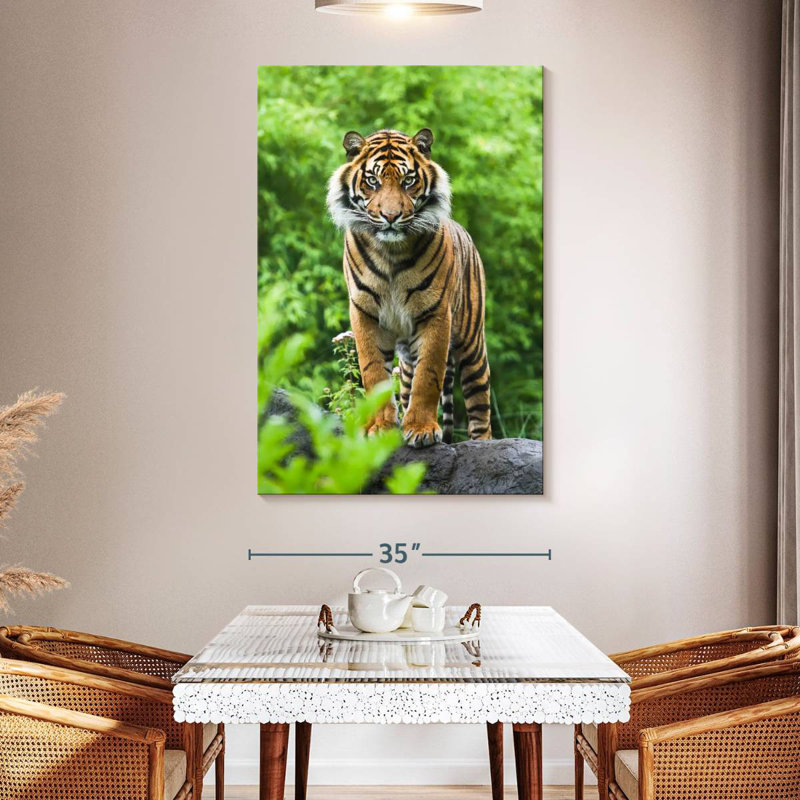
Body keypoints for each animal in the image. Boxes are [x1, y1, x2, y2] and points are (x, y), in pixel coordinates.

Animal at [326, 127, 491, 448]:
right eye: (373, 181)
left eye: (408, 181)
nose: (391, 217)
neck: (390, 252)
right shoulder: (364, 313)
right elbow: (374, 372)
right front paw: (380, 427)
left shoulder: (436, 314)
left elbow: (429, 376)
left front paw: (422, 429)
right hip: (405, 363)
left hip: (473, 347)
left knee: (480, 411)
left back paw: (484, 445)